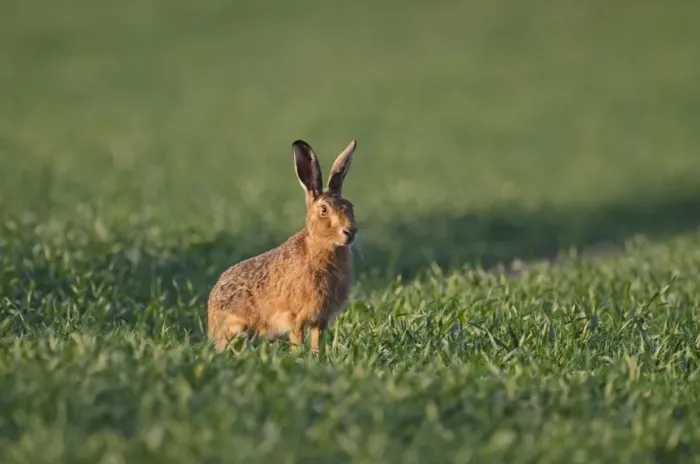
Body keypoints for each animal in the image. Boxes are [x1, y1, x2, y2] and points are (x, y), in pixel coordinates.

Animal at [207, 138, 359, 353]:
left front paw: (316, 356)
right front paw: (299, 356)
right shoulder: (297, 318)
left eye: (350, 206)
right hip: (237, 326)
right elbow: (297, 339)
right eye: (324, 210)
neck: (322, 246)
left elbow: (316, 341)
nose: (351, 232)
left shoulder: (320, 320)